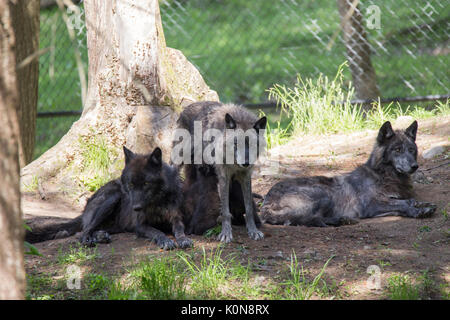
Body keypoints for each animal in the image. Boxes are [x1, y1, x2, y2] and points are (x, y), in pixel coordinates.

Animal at [25, 146, 192, 249]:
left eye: (146, 183)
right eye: (131, 184)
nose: (136, 208)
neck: (156, 202)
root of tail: (84, 210)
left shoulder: (176, 217)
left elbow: (179, 229)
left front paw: (183, 239)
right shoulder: (140, 225)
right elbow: (157, 232)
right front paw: (165, 240)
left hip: (117, 224)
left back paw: (100, 236)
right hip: (112, 198)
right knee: (84, 231)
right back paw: (89, 239)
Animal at [174, 102, 268, 242]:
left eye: (251, 144)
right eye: (236, 143)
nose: (246, 163)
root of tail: (188, 106)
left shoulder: (246, 176)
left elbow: (249, 208)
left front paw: (253, 231)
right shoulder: (223, 177)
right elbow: (225, 211)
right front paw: (226, 233)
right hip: (178, 161)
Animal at [260, 120, 436, 228]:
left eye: (411, 150)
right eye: (397, 149)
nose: (415, 166)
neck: (383, 175)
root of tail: (266, 200)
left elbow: (408, 200)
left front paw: (421, 205)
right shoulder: (370, 205)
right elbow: (403, 204)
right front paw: (418, 211)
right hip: (323, 194)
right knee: (306, 219)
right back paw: (340, 219)